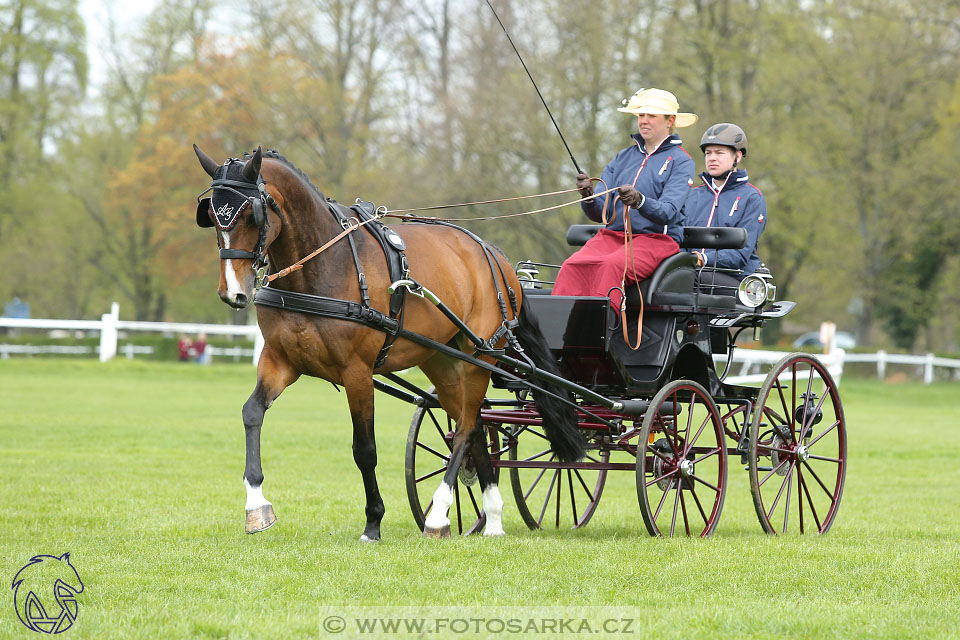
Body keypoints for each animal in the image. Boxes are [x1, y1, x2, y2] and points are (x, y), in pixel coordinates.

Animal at [191, 145, 580, 540]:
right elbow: (252, 413)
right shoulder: (280, 360)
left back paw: (438, 515)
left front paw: (373, 521)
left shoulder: (357, 372)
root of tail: (496, 256)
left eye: (250, 215)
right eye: (212, 217)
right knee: (472, 426)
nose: (233, 293)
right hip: (441, 360)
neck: (324, 266)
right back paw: (493, 520)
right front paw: (257, 505)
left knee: (465, 428)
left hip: (479, 356)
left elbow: (365, 449)